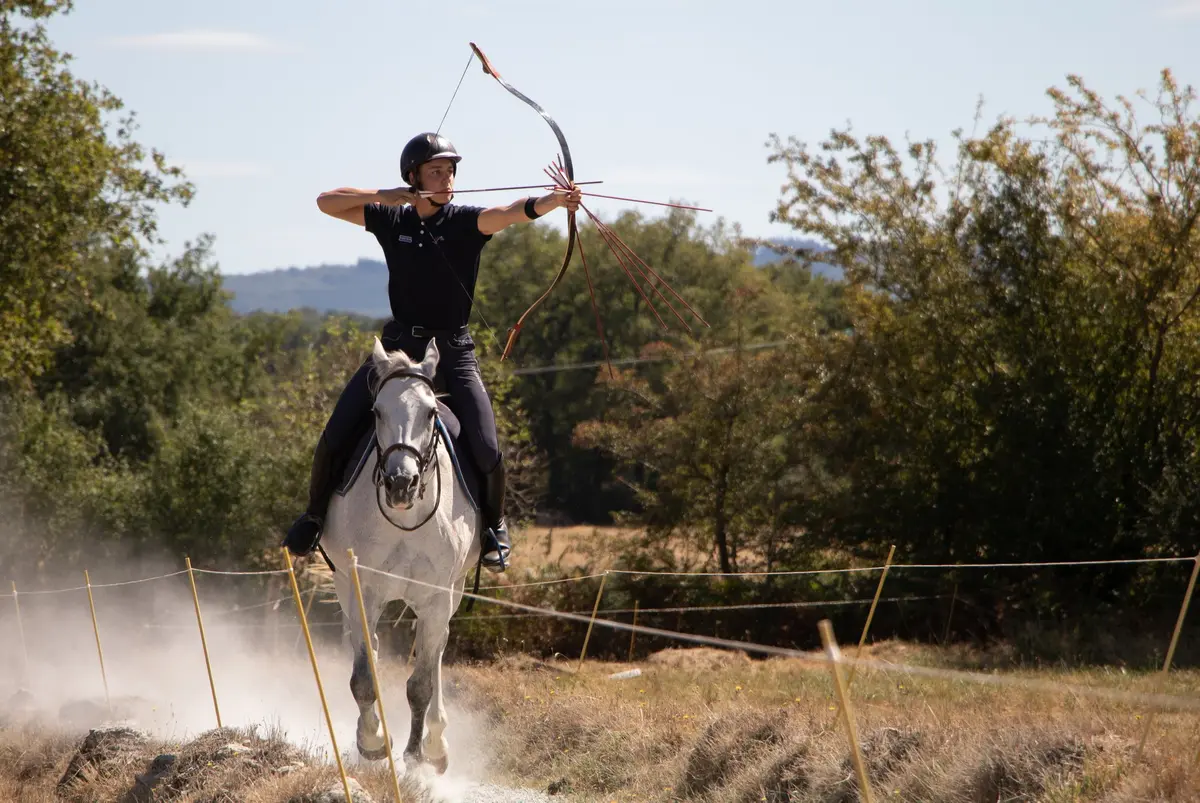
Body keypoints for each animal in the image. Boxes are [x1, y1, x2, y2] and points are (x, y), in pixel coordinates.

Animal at [321, 335, 481, 773]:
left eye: (431, 413)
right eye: (376, 411)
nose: (400, 484)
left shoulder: (436, 598)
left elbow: (421, 683)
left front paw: (415, 755)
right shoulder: (362, 590)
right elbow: (363, 679)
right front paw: (373, 743)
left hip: (451, 593)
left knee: (437, 649)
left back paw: (437, 744)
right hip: (349, 589)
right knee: (370, 647)